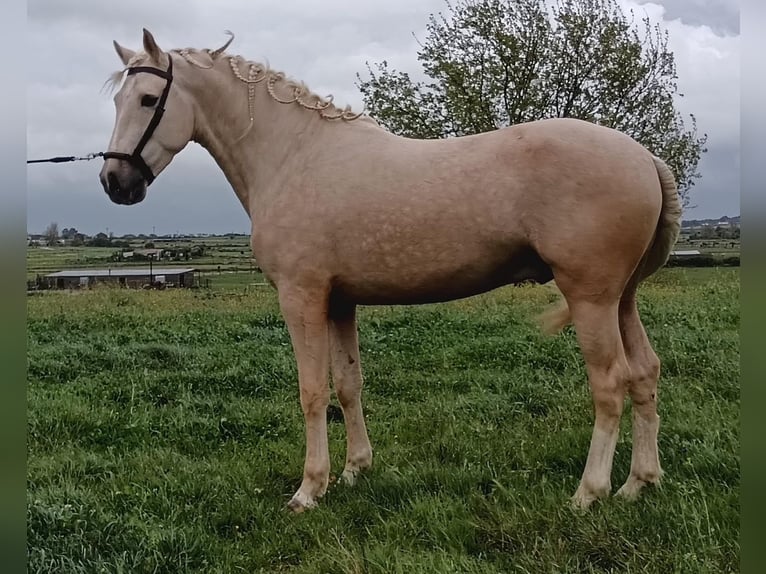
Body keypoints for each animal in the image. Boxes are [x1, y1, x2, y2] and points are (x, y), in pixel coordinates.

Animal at [99, 30, 680, 512]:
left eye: (148, 100)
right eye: (117, 101)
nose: (114, 182)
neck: (294, 156)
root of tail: (644, 158)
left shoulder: (302, 297)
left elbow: (312, 391)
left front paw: (309, 488)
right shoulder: (339, 301)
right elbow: (348, 385)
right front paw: (355, 470)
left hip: (591, 297)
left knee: (610, 383)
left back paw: (589, 492)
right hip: (621, 298)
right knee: (645, 373)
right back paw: (638, 483)